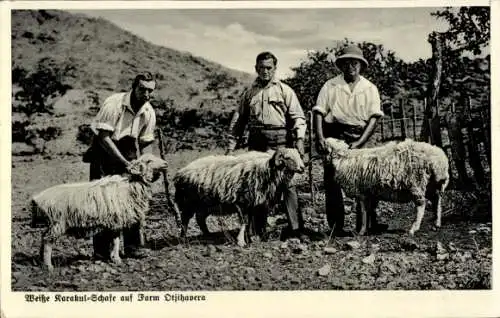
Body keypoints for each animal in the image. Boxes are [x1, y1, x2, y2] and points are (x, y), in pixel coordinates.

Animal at [30, 154, 169, 270]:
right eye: (149, 161)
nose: (165, 163)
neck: (130, 187)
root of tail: (37, 198)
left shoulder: (114, 222)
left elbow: (114, 240)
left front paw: (113, 258)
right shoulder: (117, 219)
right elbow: (116, 241)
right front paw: (117, 259)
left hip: (52, 223)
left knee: (43, 237)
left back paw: (41, 260)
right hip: (57, 222)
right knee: (48, 241)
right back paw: (48, 265)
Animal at [172, 148, 304, 247]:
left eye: (298, 155)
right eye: (288, 157)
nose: (302, 168)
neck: (267, 170)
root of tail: (179, 173)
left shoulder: (255, 204)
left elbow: (252, 222)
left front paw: (254, 237)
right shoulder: (242, 203)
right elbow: (245, 222)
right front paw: (241, 241)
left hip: (204, 204)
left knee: (200, 218)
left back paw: (208, 235)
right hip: (189, 202)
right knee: (185, 219)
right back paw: (183, 238)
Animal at [322, 137, 452, 236]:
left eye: (327, 147)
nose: (323, 140)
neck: (344, 160)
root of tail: (440, 160)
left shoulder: (362, 193)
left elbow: (364, 212)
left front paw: (362, 231)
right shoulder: (370, 193)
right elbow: (370, 210)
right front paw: (370, 228)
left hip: (417, 183)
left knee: (421, 205)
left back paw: (413, 228)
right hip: (432, 184)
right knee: (436, 201)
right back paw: (436, 223)